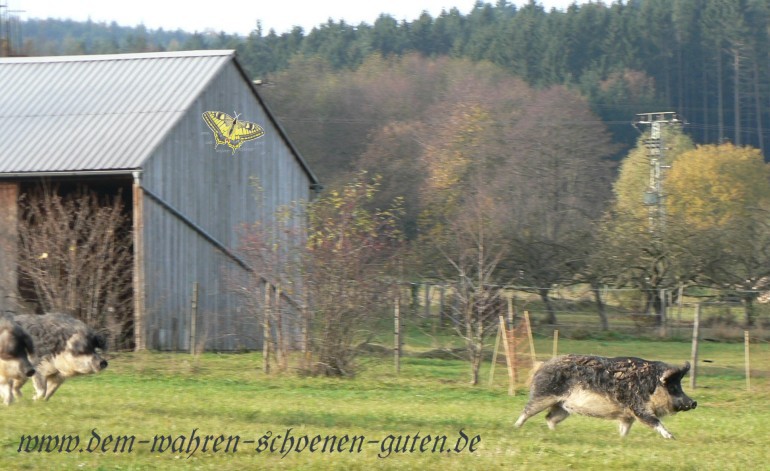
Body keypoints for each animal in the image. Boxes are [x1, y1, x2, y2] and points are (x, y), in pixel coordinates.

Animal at [514, 354, 696, 439]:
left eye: (680, 386)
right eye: (673, 387)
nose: (694, 402)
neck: (651, 387)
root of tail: (541, 365)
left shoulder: (627, 415)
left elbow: (625, 429)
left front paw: (622, 439)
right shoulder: (638, 407)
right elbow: (654, 421)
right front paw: (672, 438)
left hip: (562, 407)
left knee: (549, 418)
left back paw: (555, 433)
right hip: (543, 395)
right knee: (526, 411)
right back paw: (515, 428)